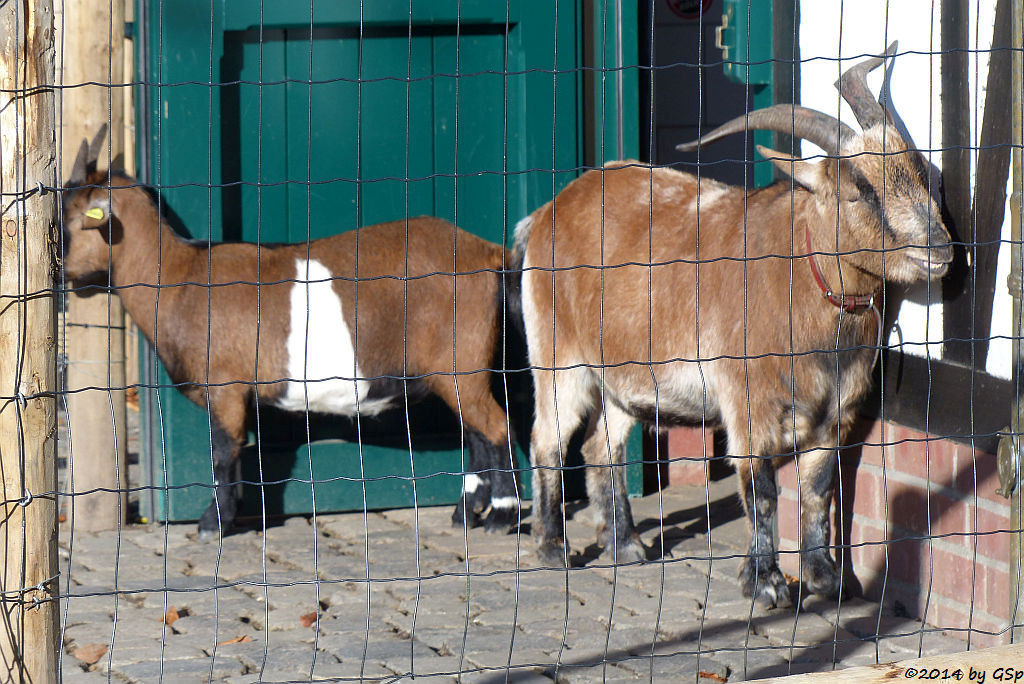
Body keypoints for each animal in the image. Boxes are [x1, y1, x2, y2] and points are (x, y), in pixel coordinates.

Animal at [59, 127, 520, 540]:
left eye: (70, 220)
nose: (54, 268)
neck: (179, 277)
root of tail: (488, 252)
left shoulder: (225, 388)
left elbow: (224, 450)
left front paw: (214, 524)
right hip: (456, 375)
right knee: (478, 435)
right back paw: (465, 514)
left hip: (461, 364)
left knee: (496, 428)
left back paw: (501, 518)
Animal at [516, 45, 954, 606]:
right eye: (859, 191)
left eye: (918, 170)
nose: (939, 249)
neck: (798, 276)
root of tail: (550, 210)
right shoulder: (749, 403)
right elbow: (761, 490)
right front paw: (765, 583)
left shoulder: (837, 410)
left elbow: (817, 488)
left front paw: (824, 579)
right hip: (559, 357)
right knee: (547, 439)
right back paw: (552, 548)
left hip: (621, 377)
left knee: (602, 445)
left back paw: (627, 545)